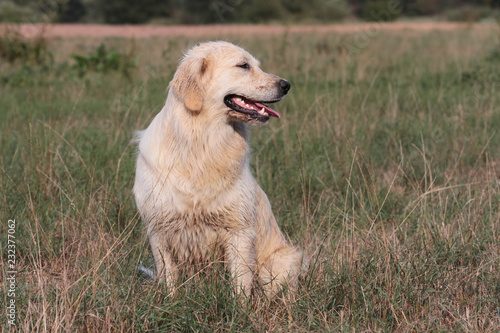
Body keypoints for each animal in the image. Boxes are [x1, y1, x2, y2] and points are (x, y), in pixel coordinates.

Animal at [134, 40, 304, 296]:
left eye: (256, 65)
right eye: (243, 66)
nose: (286, 85)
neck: (203, 144)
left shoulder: (238, 230)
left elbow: (240, 284)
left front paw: (238, 307)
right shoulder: (158, 229)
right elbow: (169, 279)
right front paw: (170, 302)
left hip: (280, 263)